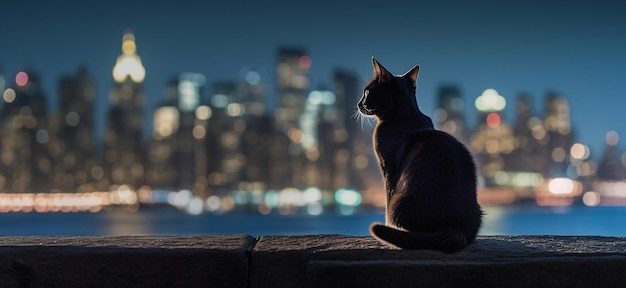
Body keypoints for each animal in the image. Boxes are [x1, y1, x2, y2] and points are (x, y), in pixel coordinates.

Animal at [356, 57, 478, 251]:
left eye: (367, 92)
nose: (359, 103)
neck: (406, 115)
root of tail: (453, 227)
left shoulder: (389, 168)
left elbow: (387, 196)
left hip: (399, 202)